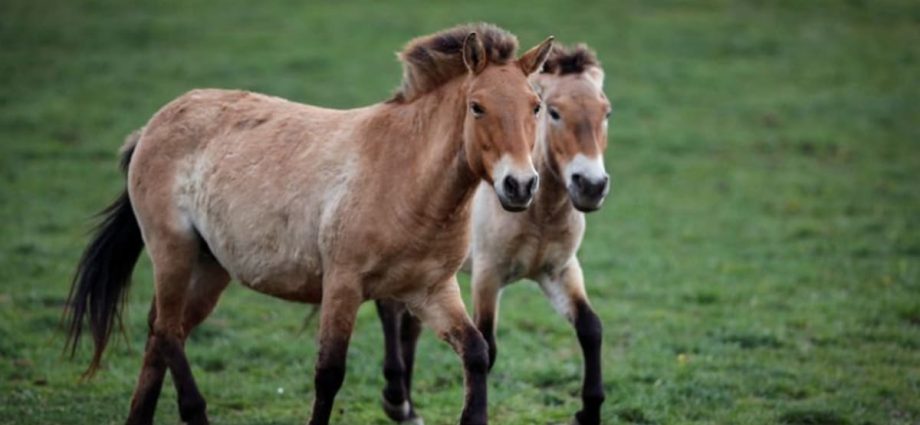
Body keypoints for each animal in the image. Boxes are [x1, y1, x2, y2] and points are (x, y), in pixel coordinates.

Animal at [66, 24, 552, 424]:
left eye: (536, 106)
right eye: (477, 107)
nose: (520, 185)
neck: (406, 177)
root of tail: (151, 127)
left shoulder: (430, 290)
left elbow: (476, 352)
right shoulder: (342, 284)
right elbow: (329, 373)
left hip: (209, 267)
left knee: (163, 332)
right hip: (173, 251)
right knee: (167, 332)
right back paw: (195, 412)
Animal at [374, 44, 612, 424]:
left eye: (607, 112)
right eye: (554, 112)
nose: (590, 186)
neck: (538, 214)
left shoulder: (559, 271)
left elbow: (591, 327)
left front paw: (587, 412)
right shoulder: (488, 275)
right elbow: (488, 344)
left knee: (410, 325)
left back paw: (408, 407)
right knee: (390, 311)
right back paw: (396, 400)